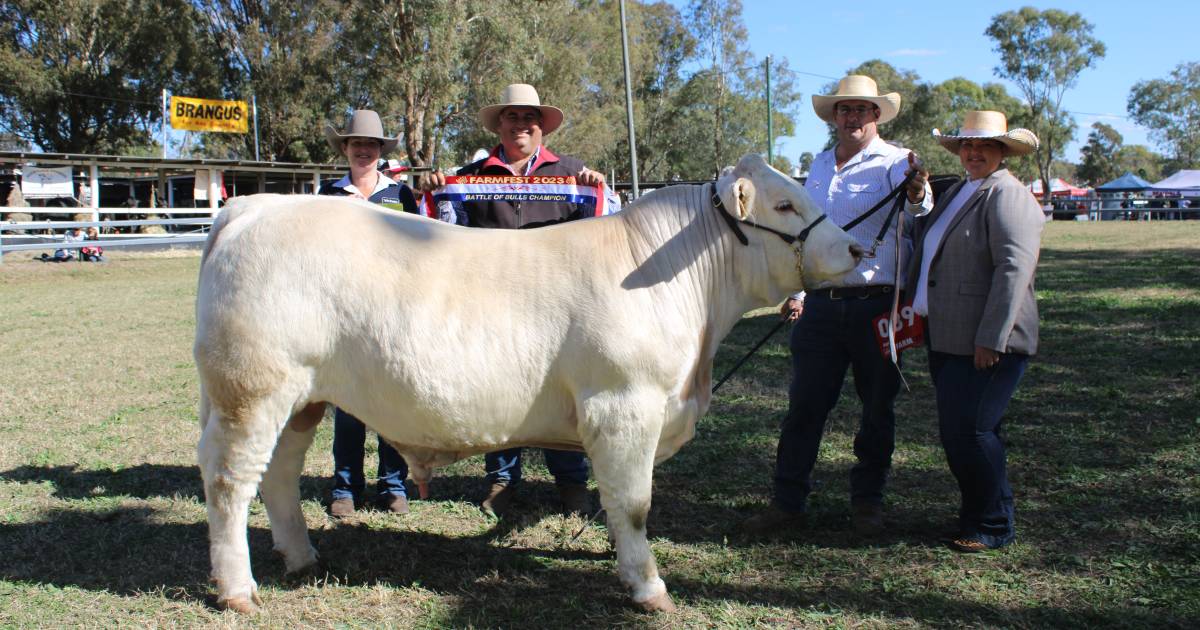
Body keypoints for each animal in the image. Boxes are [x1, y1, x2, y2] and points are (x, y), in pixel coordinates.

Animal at [192, 154, 859, 612]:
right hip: (251, 390)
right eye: (784, 206)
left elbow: (616, 504)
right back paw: (238, 590)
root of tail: (255, 206)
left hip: (302, 398)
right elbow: (635, 504)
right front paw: (649, 588)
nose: (856, 247)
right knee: (230, 481)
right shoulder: (624, 406)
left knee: (278, 473)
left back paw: (301, 557)